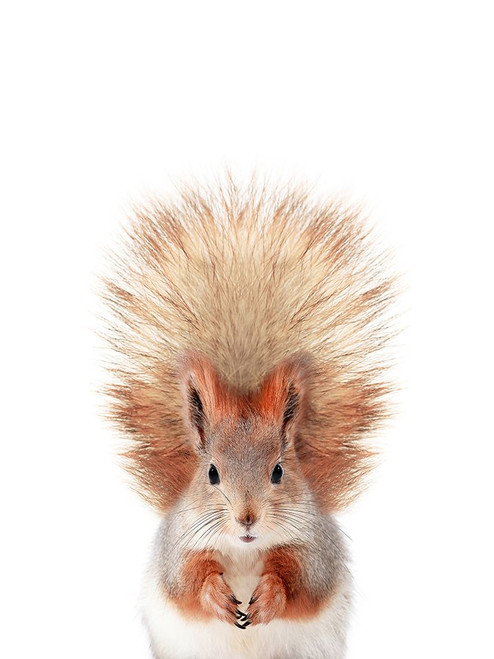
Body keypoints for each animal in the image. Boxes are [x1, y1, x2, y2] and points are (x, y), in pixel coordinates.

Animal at [101, 176, 395, 659]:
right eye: (211, 473)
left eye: (278, 471)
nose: (246, 517)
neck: (242, 551)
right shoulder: (178, 547)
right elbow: (186, 582)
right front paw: (216, 596)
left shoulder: (315, 548)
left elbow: (302, 582)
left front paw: (271, 595)